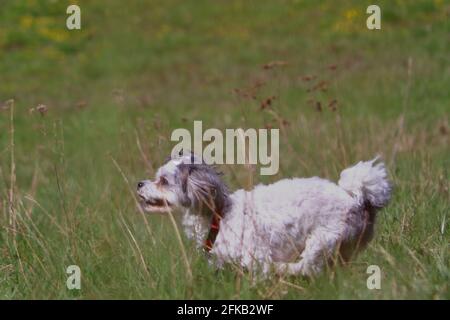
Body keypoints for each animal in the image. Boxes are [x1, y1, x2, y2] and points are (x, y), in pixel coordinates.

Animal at [136, 152, 390, 276]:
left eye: (163, 181)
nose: (139, 183)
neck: (220, 215)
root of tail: (358, 198)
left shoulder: (256, 256)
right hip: (342, 248)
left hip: (323, 238)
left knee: (306, 266)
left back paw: (286, 270)